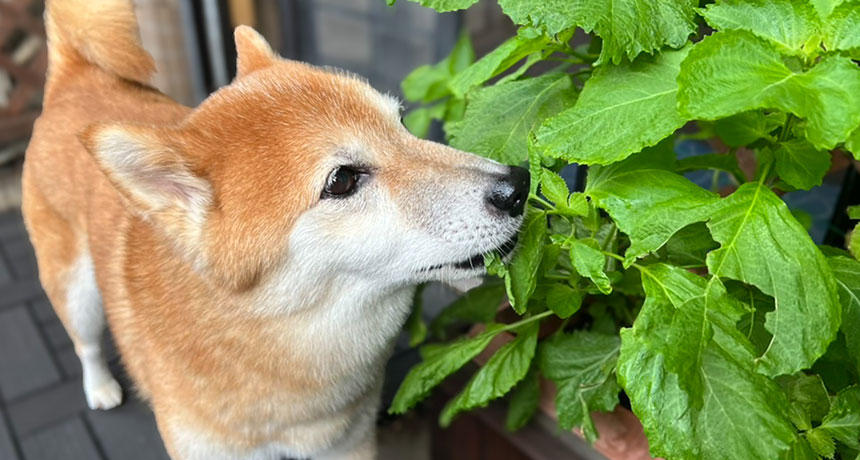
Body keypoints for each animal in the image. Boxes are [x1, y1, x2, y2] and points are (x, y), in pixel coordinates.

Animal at [20, 1, 528, 458]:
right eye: (341, 180)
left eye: (401, 123)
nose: (518, 186)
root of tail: (76, 75)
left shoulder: (348, 445)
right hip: (76, 291)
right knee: (85, 343)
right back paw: (100, 387)